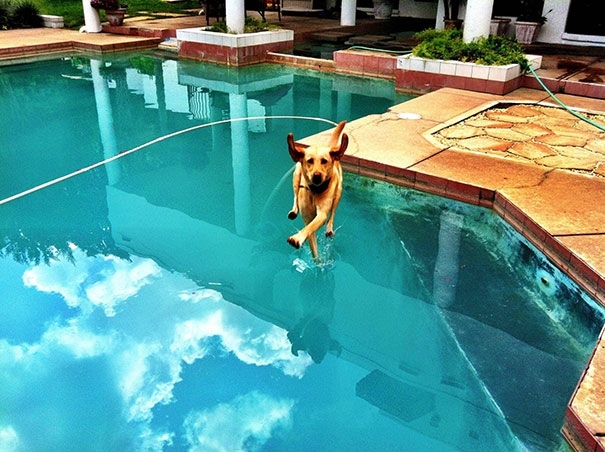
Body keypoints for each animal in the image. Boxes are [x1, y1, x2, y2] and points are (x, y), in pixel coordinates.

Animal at [288, 120, 350, 260]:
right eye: (310, 161)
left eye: (324, 161)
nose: (317, 175)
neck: (315, 191)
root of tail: (329, 146)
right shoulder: (308, 218)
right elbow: (311, 235)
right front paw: (317, 261)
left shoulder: (321, 214)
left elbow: (313, 226)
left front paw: (298, 238)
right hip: (296, 175)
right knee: (295, 195)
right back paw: (294, 210)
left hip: (339, 191)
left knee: (332, 213)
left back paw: (329, 228)